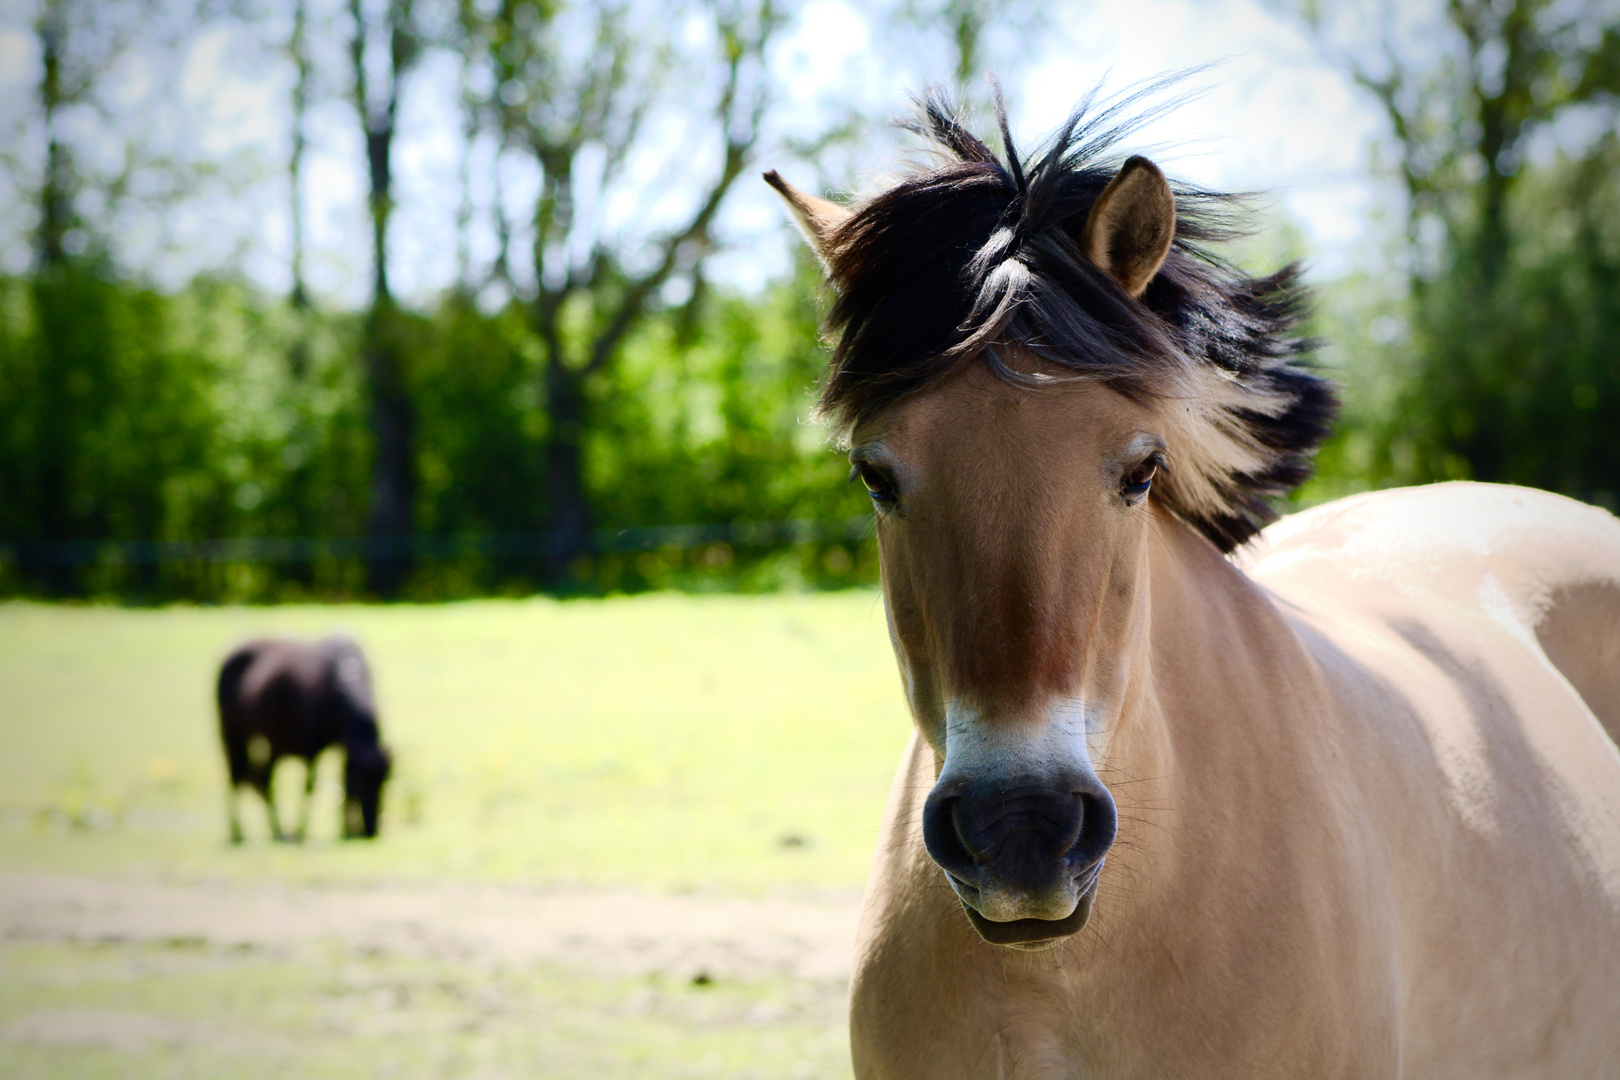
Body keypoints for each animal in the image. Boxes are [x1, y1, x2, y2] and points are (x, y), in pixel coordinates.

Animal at [218, 634, 392, 841]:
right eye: (362, 784)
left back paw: (278, 831)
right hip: (232, 736)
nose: (371, 829)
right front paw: (301, 830)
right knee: (235, 777)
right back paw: (238, 832)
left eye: (385, 783)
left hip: (272, 745)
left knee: (263, 780)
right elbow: (309, 786)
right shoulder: (310, 748)